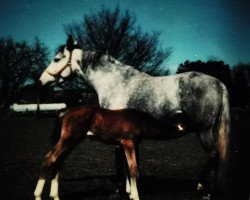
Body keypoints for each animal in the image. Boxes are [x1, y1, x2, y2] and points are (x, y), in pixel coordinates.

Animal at [32, 104, 186, 200]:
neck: (139, 120)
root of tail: (67, 111)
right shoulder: (128, 143)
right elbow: (133, 168)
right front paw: (135, 196)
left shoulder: (127, 145)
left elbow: (127, 168)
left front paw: (129, 192)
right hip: (68, 139)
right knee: (49, 158)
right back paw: (38, 195)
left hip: (73, 141)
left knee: (58, 161)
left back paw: (55, 196)